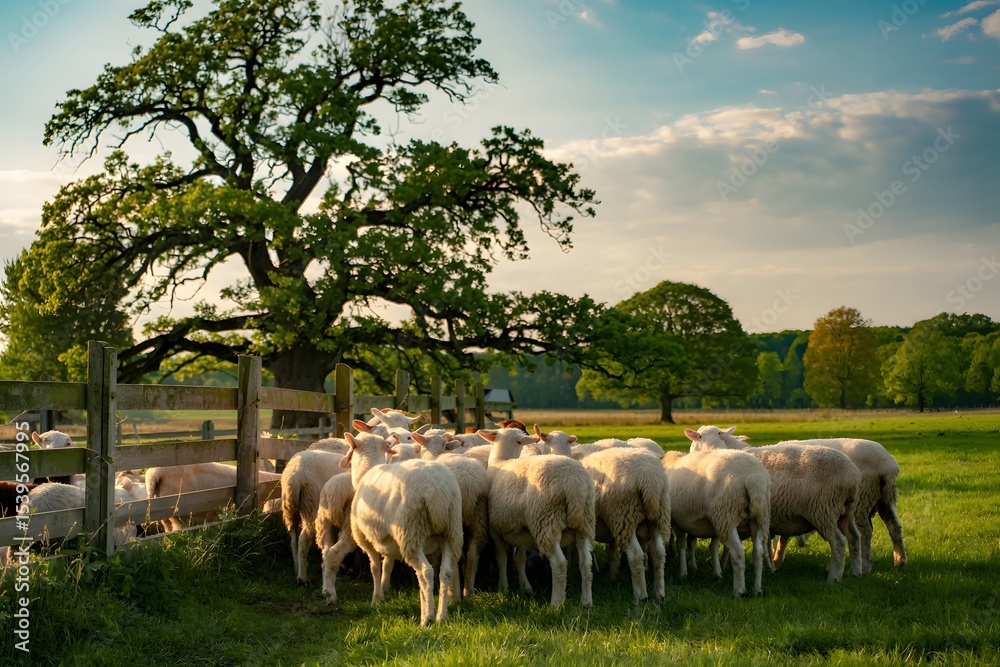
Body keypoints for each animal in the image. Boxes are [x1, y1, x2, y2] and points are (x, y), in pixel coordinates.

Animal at [341, 431, 463, 626]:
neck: (368, 470)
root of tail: (437, 492)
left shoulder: (366, 538)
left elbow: (375, 568)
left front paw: (376, 599)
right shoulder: (389, 541)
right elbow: (388, 566)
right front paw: (384, 593)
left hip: (411, 532)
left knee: (426, 572)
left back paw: (427, 618)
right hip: (451, 532)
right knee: (445, 572)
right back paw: (441, 617)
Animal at [412, 431, 491, 598]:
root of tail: (467, 482)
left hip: (452, 519)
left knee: (454, 557)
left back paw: (453, 595)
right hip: (479, 515)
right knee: (473, 554)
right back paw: (468, 593)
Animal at [480, 428, 596, 607]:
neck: (501, 461)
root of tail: (574, 484)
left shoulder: (495, 529)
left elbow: (502, 558)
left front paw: (503, 587)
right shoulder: (521, 531)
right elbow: (519, 559)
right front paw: (526, 588)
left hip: (547, 522)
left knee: (559, 564)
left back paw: (556, 604)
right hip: (584, 523)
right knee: (585, 564)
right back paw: (586, 602)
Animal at [660, 449, 771, 596]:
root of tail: (753, 478)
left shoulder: (677, 522)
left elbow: (681, 545)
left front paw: (683, 572)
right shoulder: (713, 526)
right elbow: (713, 547)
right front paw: (717, 574)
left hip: (727, 514)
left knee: (738, 552)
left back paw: (739, 590)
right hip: (757, 516)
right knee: (758, 552)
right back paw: (756, 589)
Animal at [691, 425, 906, 574]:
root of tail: (888, 463)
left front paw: (773, 562)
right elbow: (777, 538)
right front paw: (775, 561)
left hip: (858, 501)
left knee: (865, 533)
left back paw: (863, 567)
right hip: (885, 498)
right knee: (894, 527)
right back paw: (899, 561)